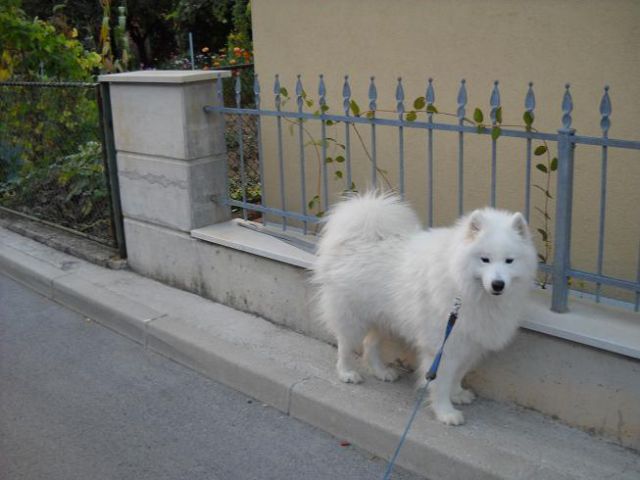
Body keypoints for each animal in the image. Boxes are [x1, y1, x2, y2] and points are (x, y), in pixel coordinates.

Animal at [312, 191, 536, 424]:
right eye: (485, 260)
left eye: (509, 261)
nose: (498, 284)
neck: (463, 286)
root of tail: (360, 236)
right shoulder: (443, 345)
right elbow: (440, 382)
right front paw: (446, 412)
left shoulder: (469, 343)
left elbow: (459, 374)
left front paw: (457, 394)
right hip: (353, 318)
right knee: (345, 346)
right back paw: (346, 373)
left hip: (385, 318)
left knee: (369, 344)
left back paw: (382, 372)